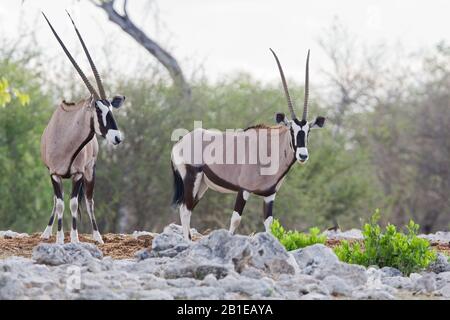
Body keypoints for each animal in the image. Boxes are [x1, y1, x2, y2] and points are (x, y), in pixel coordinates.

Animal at [40, 11, 125, 244]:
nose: (117, 138)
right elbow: (60, 203)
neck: (65, 139)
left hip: (89, 171)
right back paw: (47, 232)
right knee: (57, 201)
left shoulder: (78, 174)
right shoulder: (54, 174)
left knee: (88, 201)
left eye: (111, 109)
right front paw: (59, 238)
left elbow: (73, 204)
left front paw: (75, 239)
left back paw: (97, 236)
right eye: (98, 110)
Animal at [171, 48, 326, 240]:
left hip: (202, 185)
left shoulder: (269, 195)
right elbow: (235, 220)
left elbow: (269, 224)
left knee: (188, 208)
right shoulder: (243, 190)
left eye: (308, 131)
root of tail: (179, 143)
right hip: (192, 178)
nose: (303, 155)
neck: (270, 149)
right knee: (185, 209)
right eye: (291, 129)